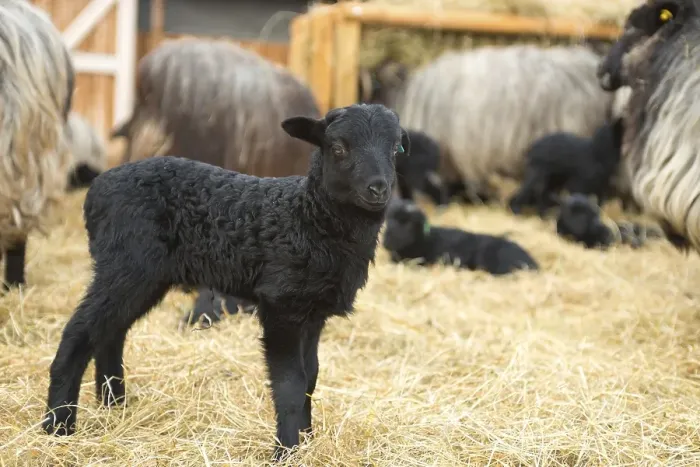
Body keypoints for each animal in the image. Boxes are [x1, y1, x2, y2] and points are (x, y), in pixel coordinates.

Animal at [41, 103, 411, 461]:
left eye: (396, 149)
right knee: (79, 333)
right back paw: (58, 426)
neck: (308, 220)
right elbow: (291, 384)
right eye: (338, 148)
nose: (379, 188)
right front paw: (286, 451)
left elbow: (312, 376)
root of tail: (97, 190)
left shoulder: (313, 313)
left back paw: (115, 407)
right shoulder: (282, 304)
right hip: (127, 265)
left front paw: (307, 441)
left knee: (110, 334)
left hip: (141, 276)